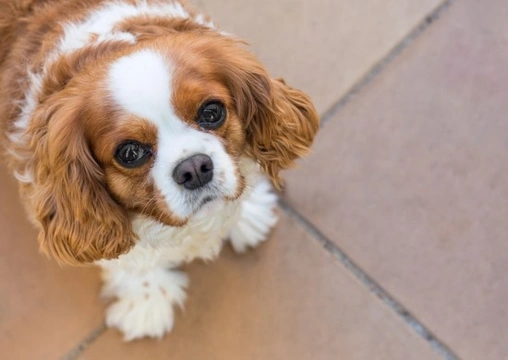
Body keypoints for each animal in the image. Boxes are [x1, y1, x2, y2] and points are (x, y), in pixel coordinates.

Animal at [0, 0, 318, 338]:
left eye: (212, 112)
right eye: (129, 153)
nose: (194, 167)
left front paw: (248, 214)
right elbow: (126, 259)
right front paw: (147, 298)